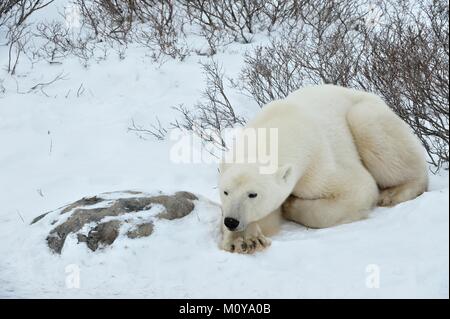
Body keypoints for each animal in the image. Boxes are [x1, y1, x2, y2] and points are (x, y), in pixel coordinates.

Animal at [218, 84, 428, 255]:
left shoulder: (318, 162)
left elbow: (358, 189)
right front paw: (244, 240)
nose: (232, 221)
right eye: (225, 192)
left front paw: (290, 205)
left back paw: (393, 193)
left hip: (367, 115)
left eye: (252, 194)